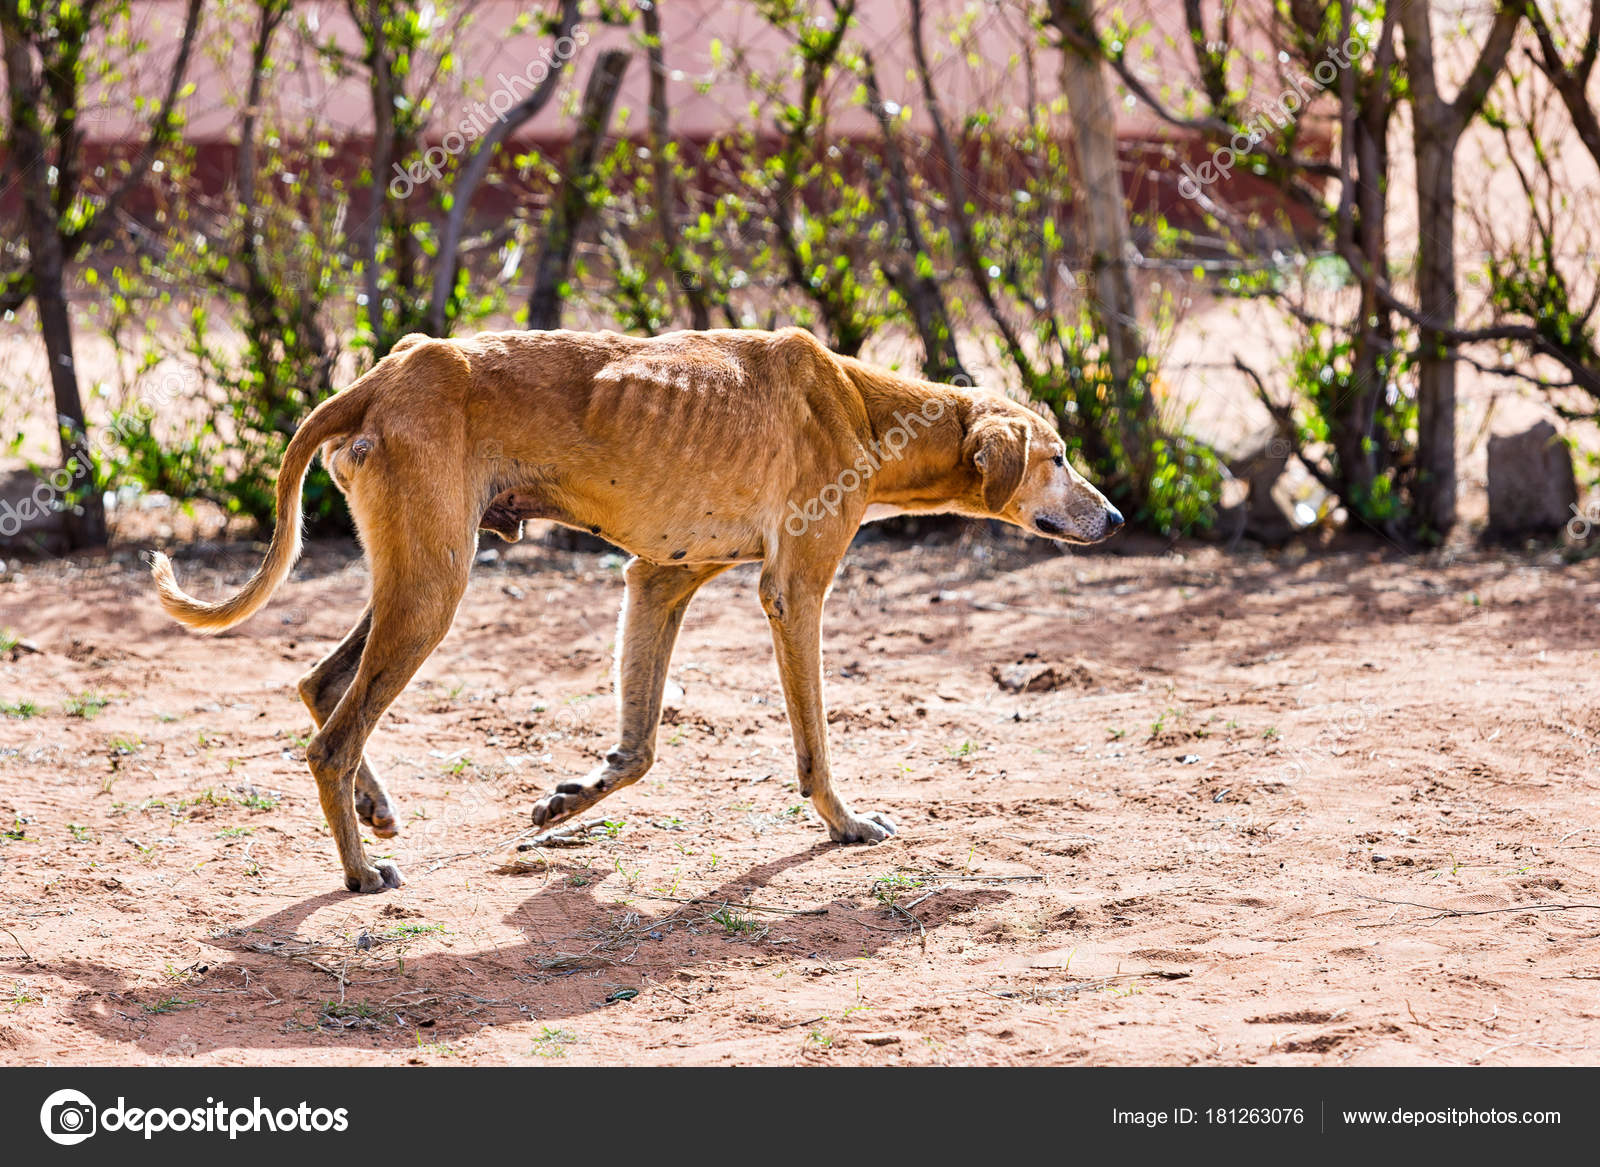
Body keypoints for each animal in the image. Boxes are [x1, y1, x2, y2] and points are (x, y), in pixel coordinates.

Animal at [152, 328, 1126, 890]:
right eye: (1059, 456)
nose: (1116, 518)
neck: (860, 403)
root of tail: (385, 375)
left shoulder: (659, 581)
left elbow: (641, 746)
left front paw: (571, 798)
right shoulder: (793, 592)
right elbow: (814, 744)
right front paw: (845, 824)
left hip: (417, 578)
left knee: (321, 686)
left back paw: (374, 807)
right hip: (433, 589)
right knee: (331, 739)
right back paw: (360, 869)